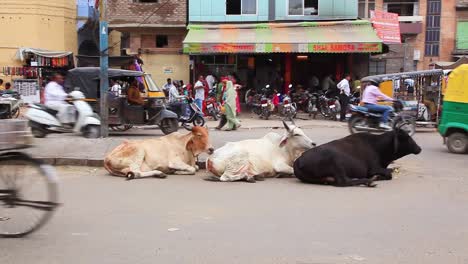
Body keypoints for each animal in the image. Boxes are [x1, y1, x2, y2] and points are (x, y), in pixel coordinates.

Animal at [292, 128, 420, 188]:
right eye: (407, 137)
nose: (419, 148)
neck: (378, 146)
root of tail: (298, 161)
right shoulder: (373, 168)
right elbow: (389, 174)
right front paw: (376, 177)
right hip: (336, 163)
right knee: (344, 182)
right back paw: (369, 181)